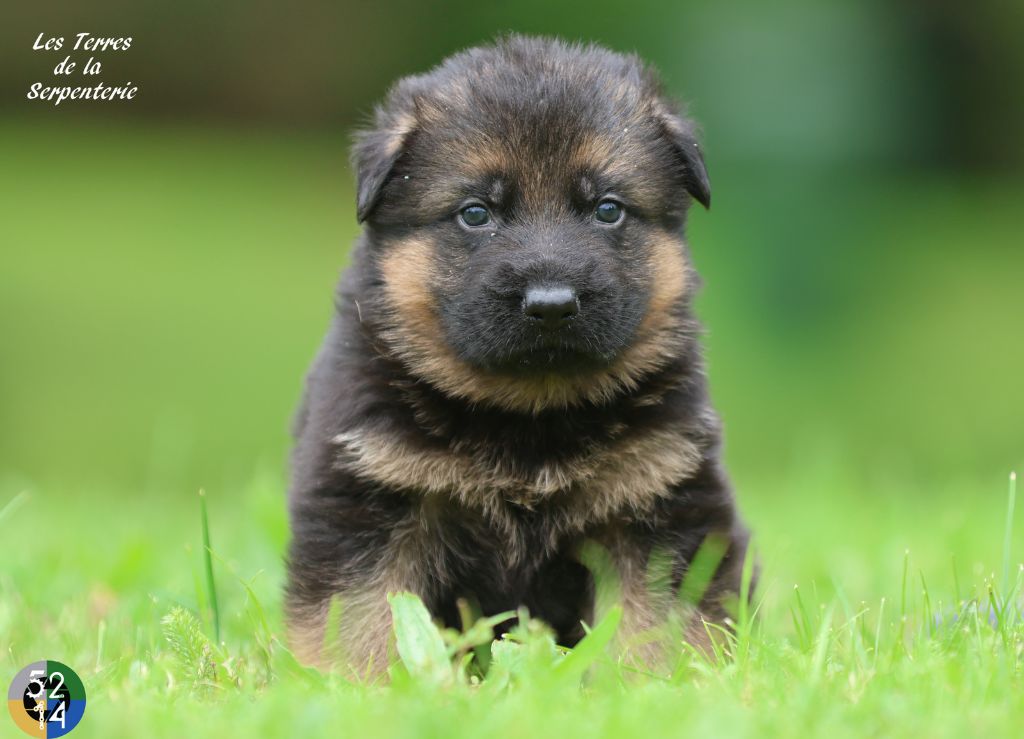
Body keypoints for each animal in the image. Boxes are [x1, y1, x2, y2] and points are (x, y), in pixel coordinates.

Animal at [284, 36, 749, 675]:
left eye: (608, 209)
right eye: (476, 213)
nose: (551, 305)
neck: (529, 415)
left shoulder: (658, 498)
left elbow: (655, 621)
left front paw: (657, 683)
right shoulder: (367, 495)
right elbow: (360, 619)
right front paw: (359, 685)